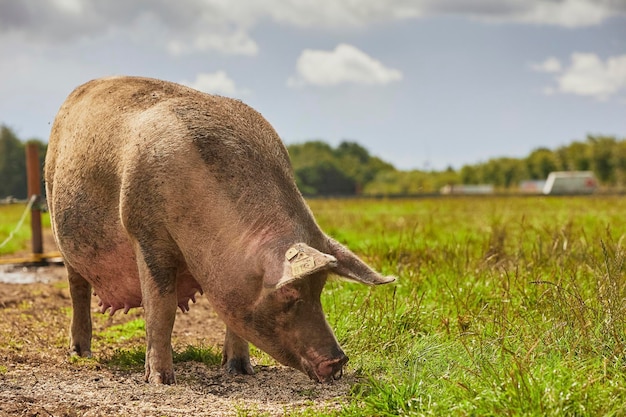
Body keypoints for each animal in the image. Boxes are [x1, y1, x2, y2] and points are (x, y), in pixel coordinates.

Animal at [45, 75, 394, 384]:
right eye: (289, 292)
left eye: (320, 289)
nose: (339, 361)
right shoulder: (145, 231)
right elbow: (161, 309)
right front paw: (161, 381)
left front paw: (239, 371)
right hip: (57, 218)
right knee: (77, 289)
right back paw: (80, 354)